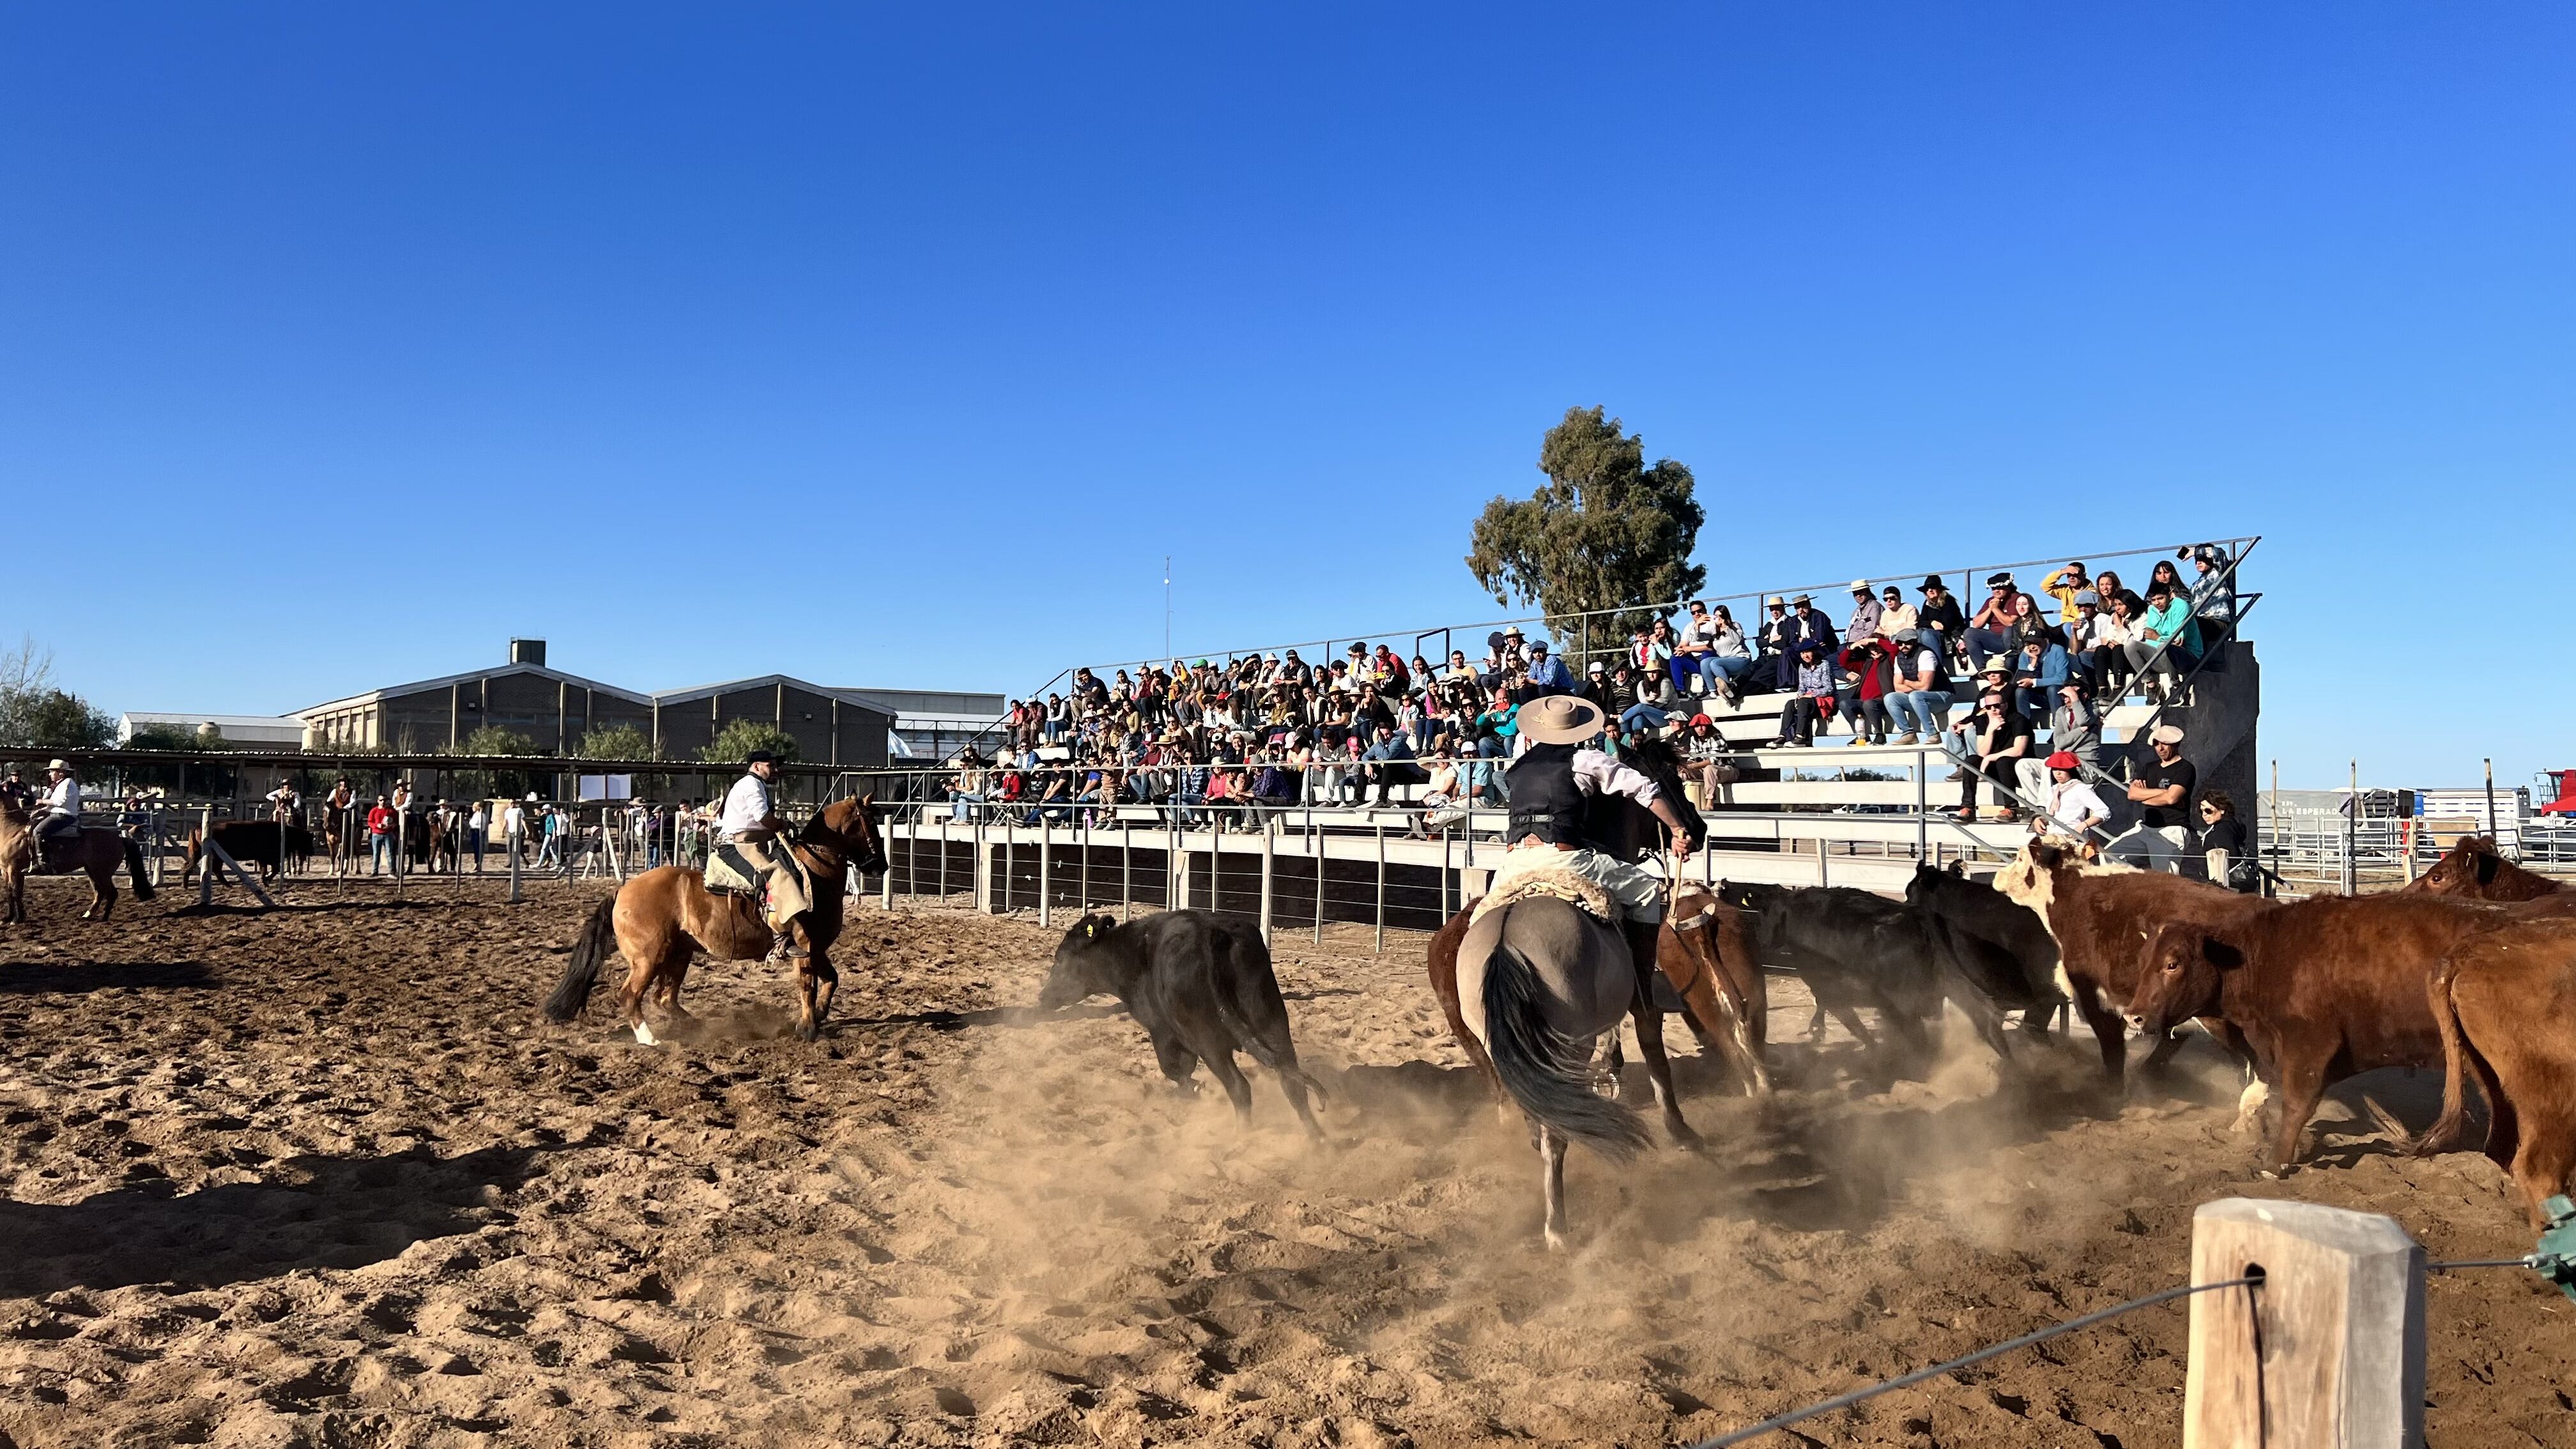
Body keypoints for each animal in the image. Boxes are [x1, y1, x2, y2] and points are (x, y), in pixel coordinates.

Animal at [0, 793, 155, 917]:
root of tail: (120, 839)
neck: (13, 832)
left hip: (102, 873)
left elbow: (15, 892)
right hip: (91, 871)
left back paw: (103, 918)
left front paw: (17, 919)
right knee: (99, 893)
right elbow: (11, 892)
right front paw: (10, 917)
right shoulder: (7, 870)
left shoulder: (13, 869)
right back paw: (88, 915)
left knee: (111, 893)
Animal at [540, 788, 886, 1036]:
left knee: (664, 998)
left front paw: (819, 1015)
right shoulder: (805, 945)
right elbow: (809, 985)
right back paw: (650, 1039)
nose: (881, 866)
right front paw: (808, 1026)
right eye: (871, 824)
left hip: (678, 954)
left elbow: (832, 979)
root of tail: (623, 891)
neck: (813, 871)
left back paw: (696, 1026)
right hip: (649, 958)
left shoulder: (816, 948)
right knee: (631, 996)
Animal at [1035, 907, 1329, 1134]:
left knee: (1240, 1087)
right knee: (1292, 1083)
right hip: (1271, 1022)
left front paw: (1193, 1088)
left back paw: (1242, 1135)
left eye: (1060, 959)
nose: (1042, 997)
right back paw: (1317, 1139)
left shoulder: (1162, 1031)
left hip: (1210, 1042)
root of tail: (1212, 934)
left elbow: (1173, 1068)